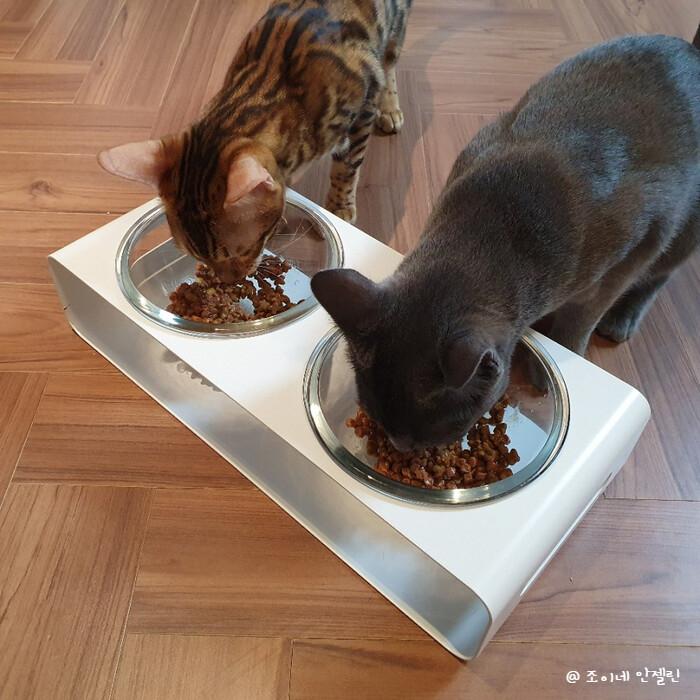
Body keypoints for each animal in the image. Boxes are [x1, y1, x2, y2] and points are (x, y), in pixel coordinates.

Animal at [97, 2, 410, 284]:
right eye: (197, 257)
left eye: (240, 251)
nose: (228, 282)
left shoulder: (363, 107)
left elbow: (346, 166)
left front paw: (339, 208)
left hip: (395, 30)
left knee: (390, 64)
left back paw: (390, 109)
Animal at [314, 32, 700, 452]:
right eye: (375, 414)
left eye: (434, 430)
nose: (401, 447)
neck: (494, 224)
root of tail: (690, 50)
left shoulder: (639, 244)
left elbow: (580, 319)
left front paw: (557, 359)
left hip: (684, 227)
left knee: (658, 276)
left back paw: (621, 320)